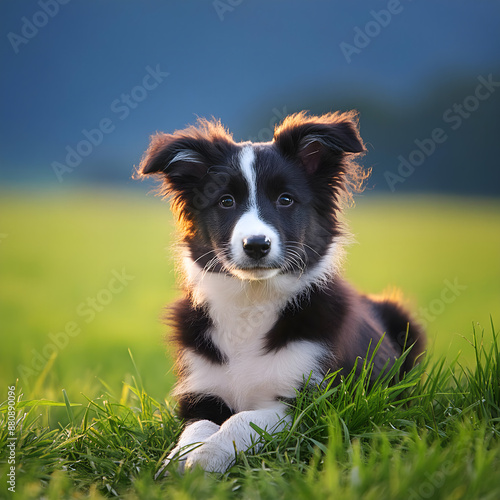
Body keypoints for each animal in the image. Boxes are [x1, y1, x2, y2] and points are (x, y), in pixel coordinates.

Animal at [138, 111, 426, 474]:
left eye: (285, 199)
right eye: (226, 201)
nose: (256, 245)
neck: (252, 300)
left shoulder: (311, 402)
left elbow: (242, 420)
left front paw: (206, 458)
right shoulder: (201, 393)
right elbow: (198, 426)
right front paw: (180, 459)